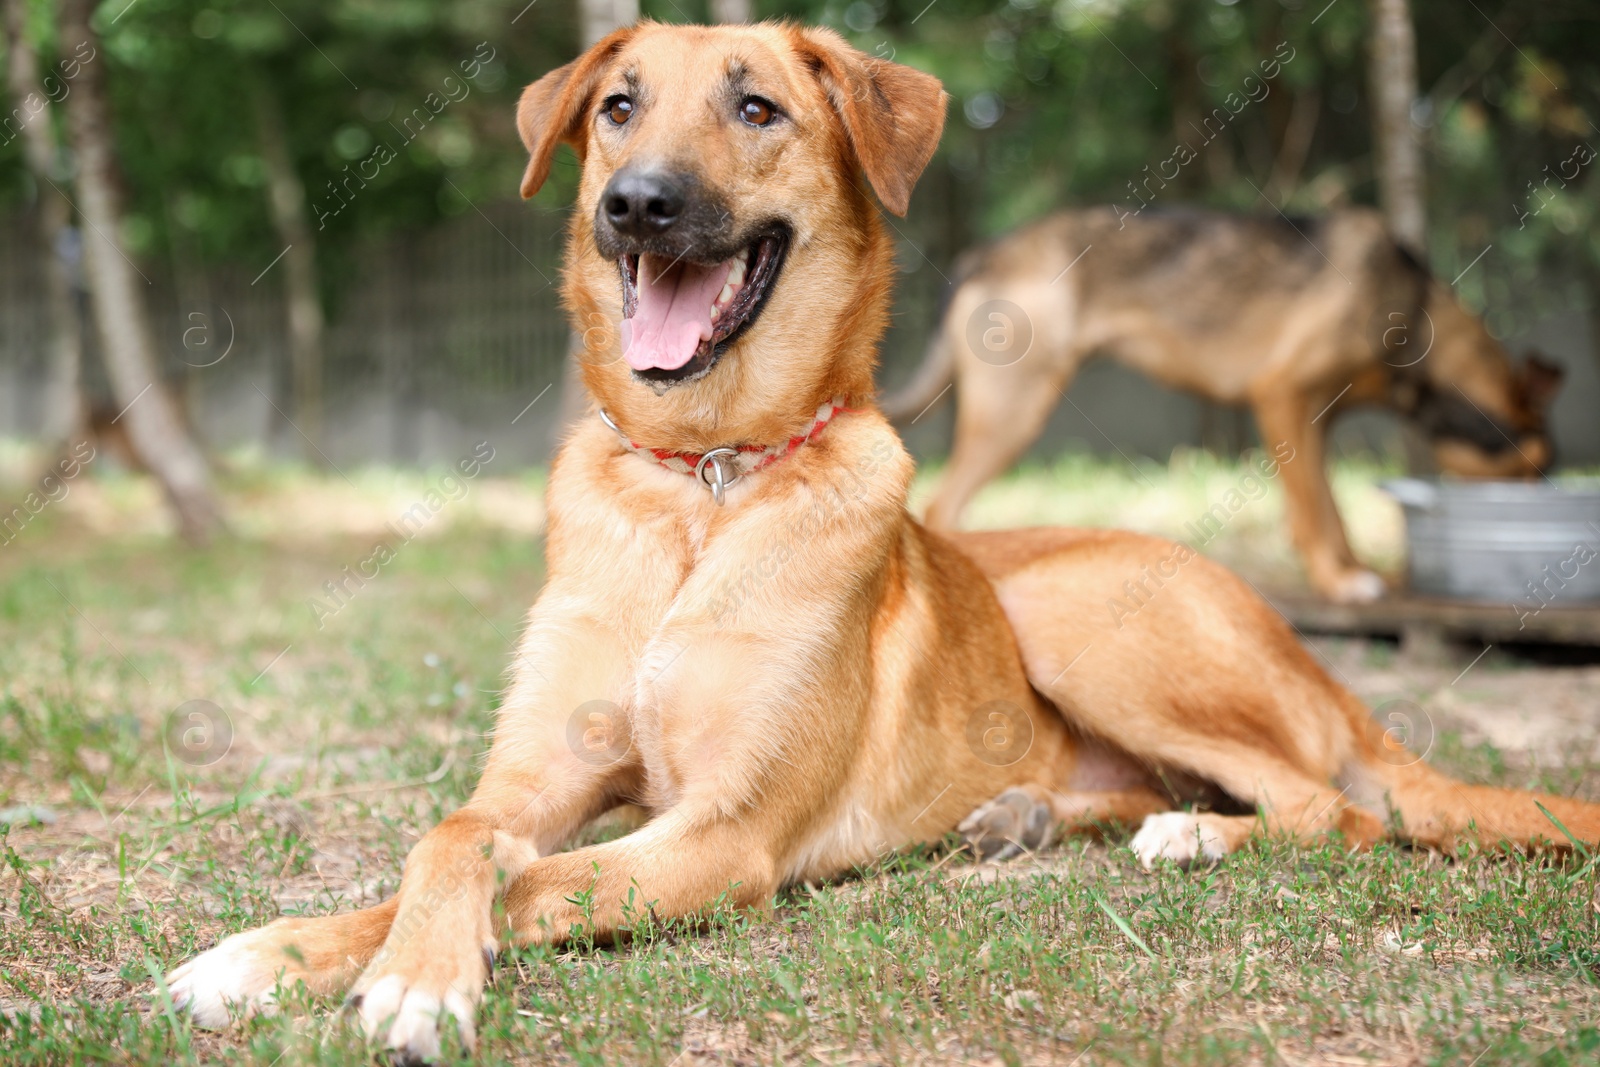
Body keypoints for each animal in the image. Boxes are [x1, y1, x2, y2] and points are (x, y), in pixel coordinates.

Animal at [165, 24, 1600, 1062]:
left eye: (757, 110)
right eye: (617, 106)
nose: (636, 203)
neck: (707, 484)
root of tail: (1322, 670)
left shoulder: (722, 836)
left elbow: (529, 881)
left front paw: (412, 979)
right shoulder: (539, 778)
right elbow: (454, 839)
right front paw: (275, 950)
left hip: (1085, 615)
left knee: (1330, 809)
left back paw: (1191, 838)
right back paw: (1027, 813)